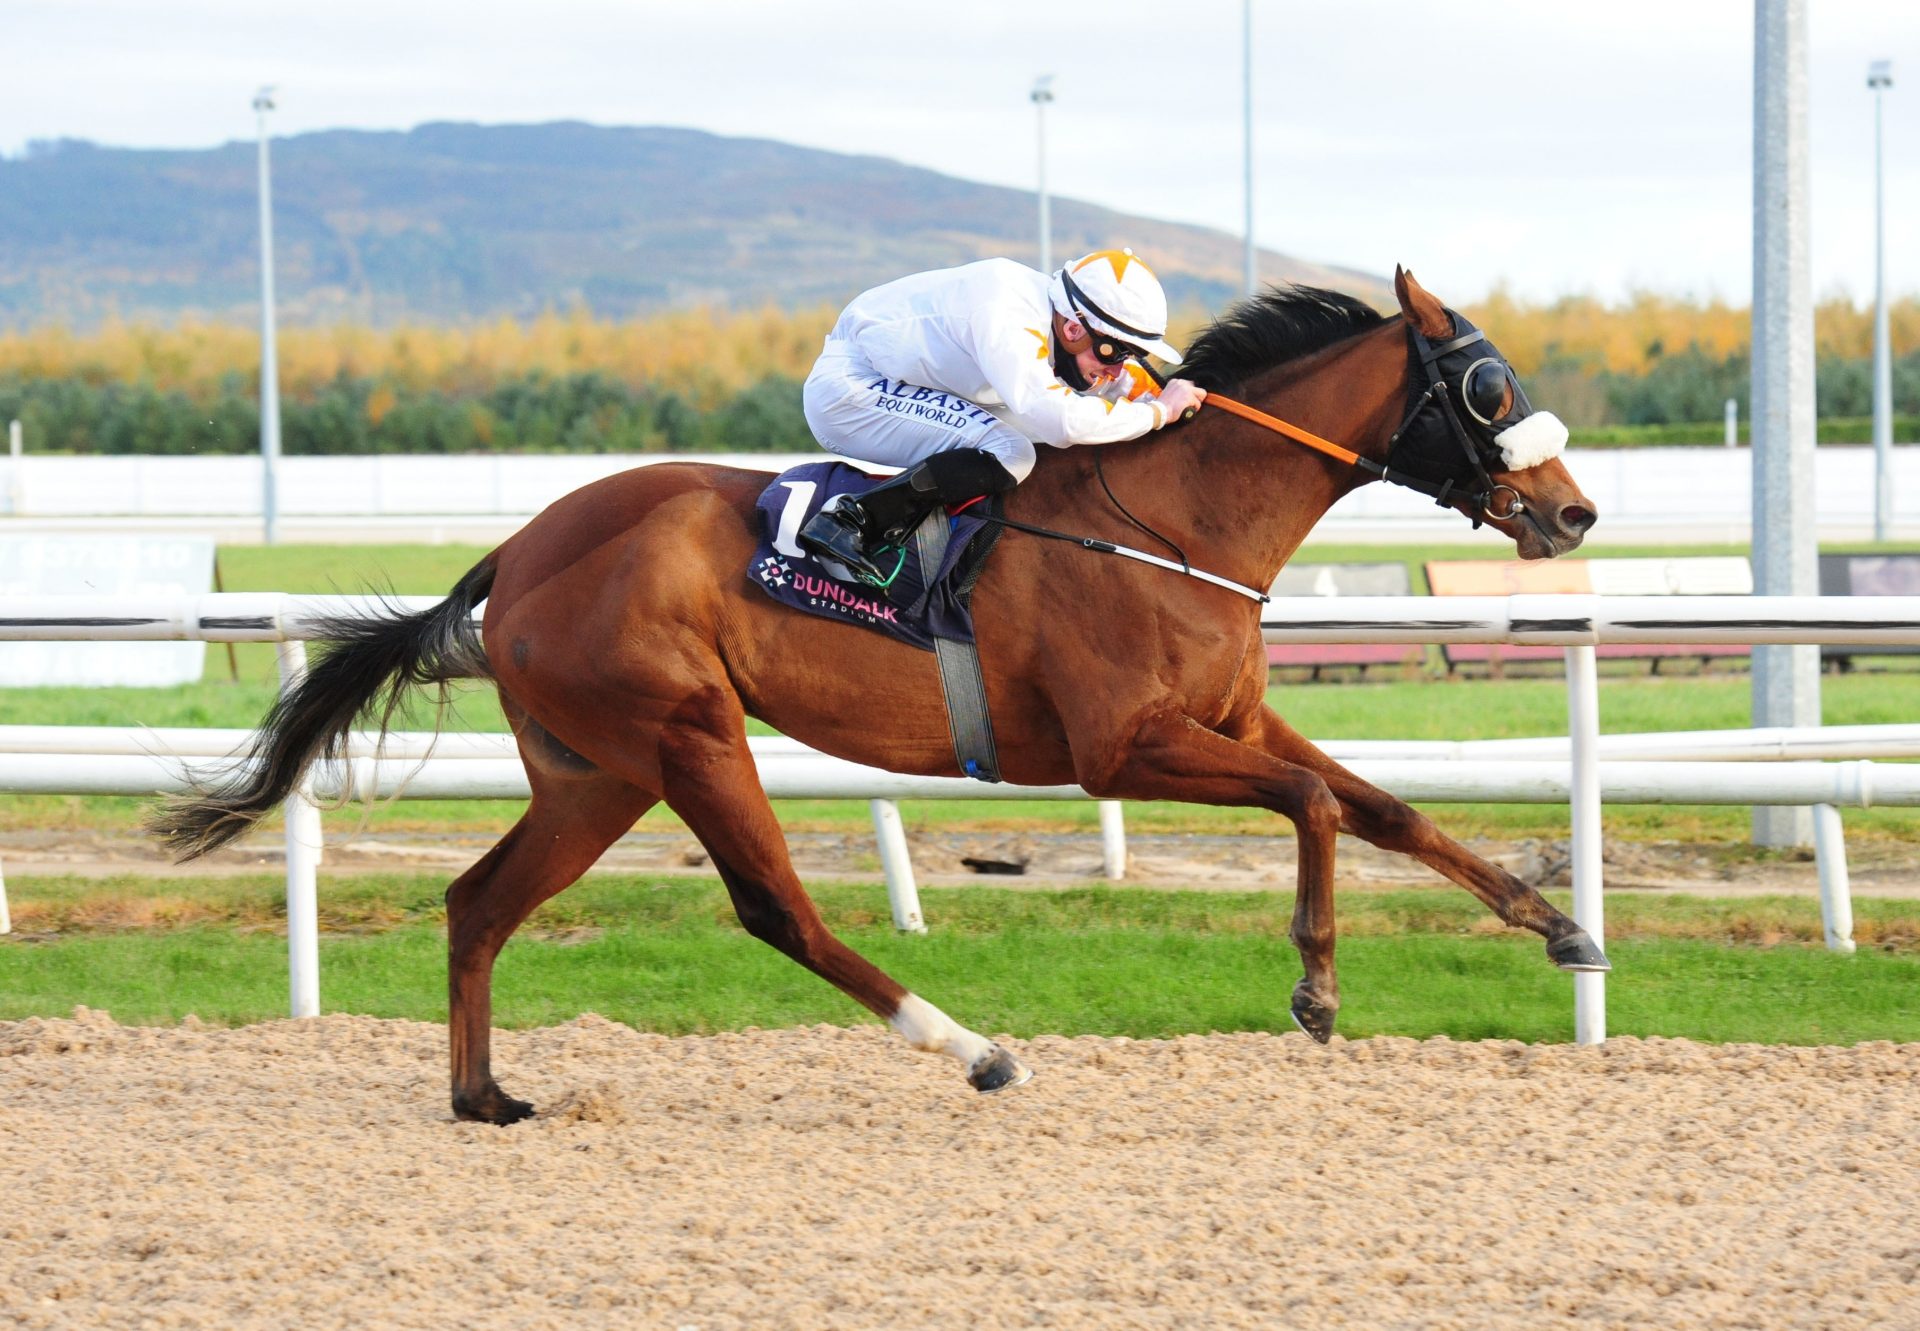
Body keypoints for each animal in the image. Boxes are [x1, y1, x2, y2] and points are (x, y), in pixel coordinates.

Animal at [157, 265, 1605, 1113]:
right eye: (1488, 387)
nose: (1573, 512)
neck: (1176, 515)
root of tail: (518, 550)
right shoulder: (1120, 743)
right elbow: (1311, 801)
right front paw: (1315, 986)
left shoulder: (1231, 716)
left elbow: (1383, 807)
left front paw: (1561, 926)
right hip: (685, 731)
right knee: (777, 909)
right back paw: (975, 1047)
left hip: (595, 768)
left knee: (477, 900)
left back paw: (484, 1094)